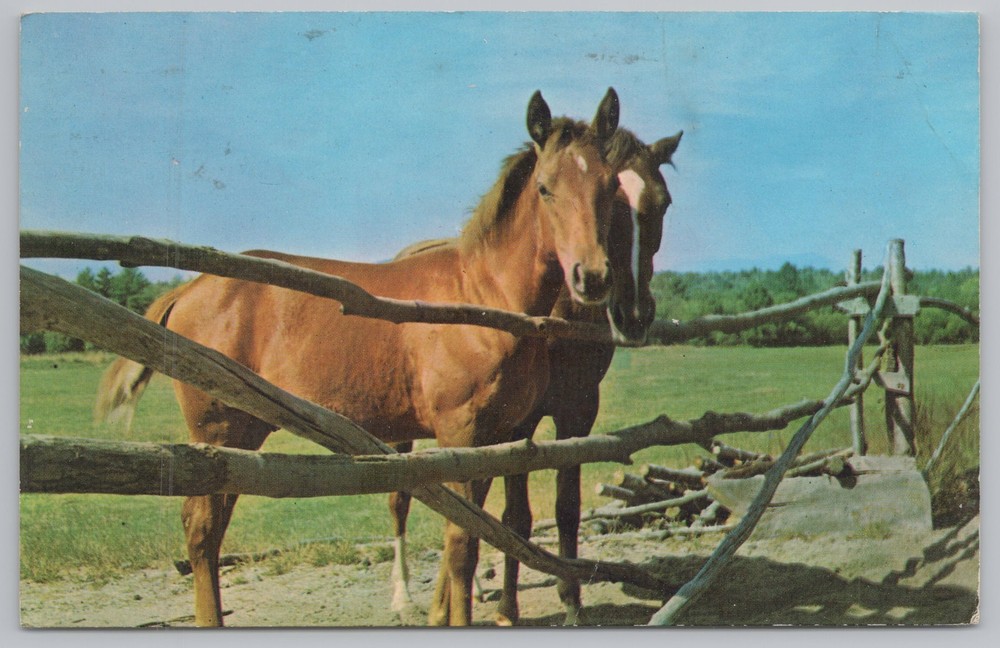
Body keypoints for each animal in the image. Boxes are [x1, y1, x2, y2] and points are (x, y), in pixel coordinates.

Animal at [95, 89, 623, 627]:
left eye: (610, 186)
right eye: (545, 188)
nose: (591, 277)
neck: (482, 297)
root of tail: (190, 288)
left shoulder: (501, 437)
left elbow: (482, 531)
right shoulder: (462, 434)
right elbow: (462, 546)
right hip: (218, 432)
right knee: (201, 529)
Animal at [388, 127, 682, 625]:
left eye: (662, 202)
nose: (635, 314)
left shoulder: (577, 410)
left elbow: (564, 508)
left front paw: (571, 601)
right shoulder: (519, 423)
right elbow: (516, 517)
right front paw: (508, 608)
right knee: (403, 499)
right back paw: (404, 595)